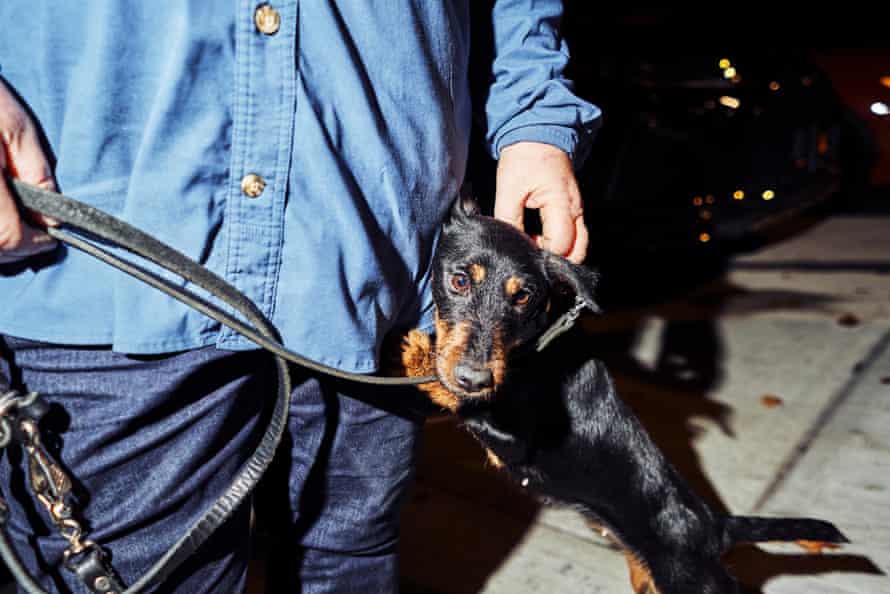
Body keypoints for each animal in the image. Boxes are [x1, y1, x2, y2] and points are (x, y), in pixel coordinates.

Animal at [402, 197, 848, 592]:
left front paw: (418, 358)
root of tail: (715, 525)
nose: (475, 377)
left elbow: (466, 404)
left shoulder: (515, 441)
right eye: (459, 280)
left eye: (523, 296)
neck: (533, 345)